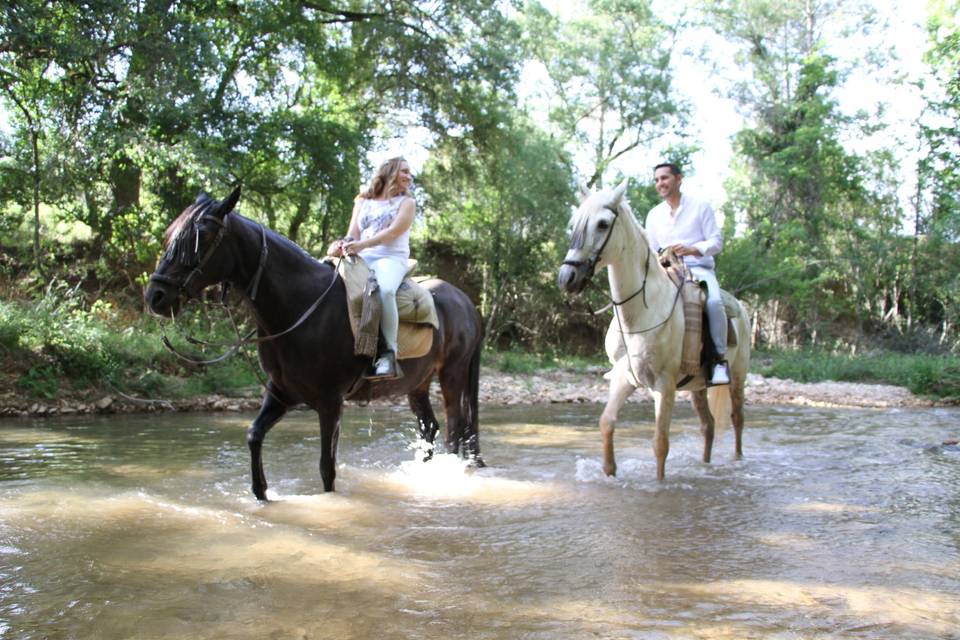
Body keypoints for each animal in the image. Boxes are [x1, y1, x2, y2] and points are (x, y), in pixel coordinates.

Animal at [145, 188, 484, 498]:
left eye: (200, 236)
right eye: (171, 234)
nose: (155, 296)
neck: (302, 306)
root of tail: (466, 302)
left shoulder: (330, 401)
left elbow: (326, 468)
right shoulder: (281, 392)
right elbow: (254, 435)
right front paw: (261, 491)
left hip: (452, 374)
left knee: (455, 430)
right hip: (417, 383)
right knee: (430, 428)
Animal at [560, 180, 752, 480]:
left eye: (603, 224)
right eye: (574, 224)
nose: (566, 278)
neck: (641, 313)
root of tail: (741, 309)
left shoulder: (664, 384)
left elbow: (660, 443)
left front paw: (659, 484)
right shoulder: (623, 378)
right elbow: (606, 422)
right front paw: (609, 471)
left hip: (738, 377)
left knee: (737, 420)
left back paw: (737, 460)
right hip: (698, 386)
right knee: (708, 426)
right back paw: (705, 465)